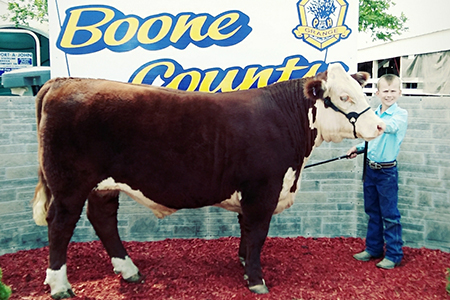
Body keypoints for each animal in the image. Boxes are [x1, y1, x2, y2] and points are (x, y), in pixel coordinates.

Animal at [32, 63, 384, 298]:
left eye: (361, 92)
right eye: (344, 97)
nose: (379, 126)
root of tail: (63, 81)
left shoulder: (250, 192)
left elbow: (247, 232)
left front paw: (243, 262)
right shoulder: (263, 189)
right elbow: (258, 233)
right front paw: (256, 279)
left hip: (103, 185)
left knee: (103, 219)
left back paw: (129, 270)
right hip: (69, 184)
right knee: (60, 225)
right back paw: (60, 285)